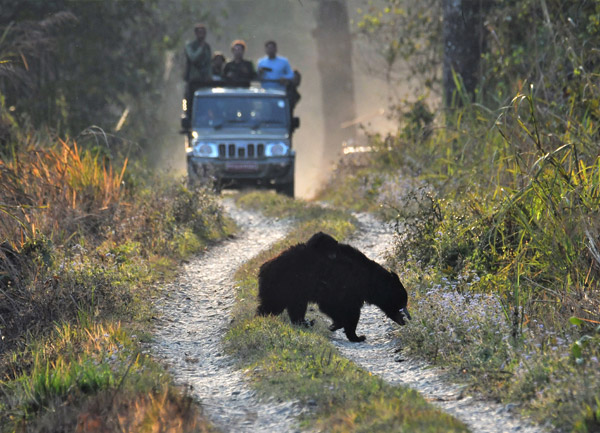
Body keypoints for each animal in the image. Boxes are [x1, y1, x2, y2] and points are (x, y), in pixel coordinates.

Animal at [255, 230, 410, 340]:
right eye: (402, 302)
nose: (407, 319)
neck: (369, 281)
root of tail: (263, 268)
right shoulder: (345, 287)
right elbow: (347, 310)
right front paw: (356, 335)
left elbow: (334, 308)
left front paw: (336, 326)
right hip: (283, 285)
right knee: (272, 305)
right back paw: (262, 319)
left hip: (295, 291)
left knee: (296, 307)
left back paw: (303, 323)